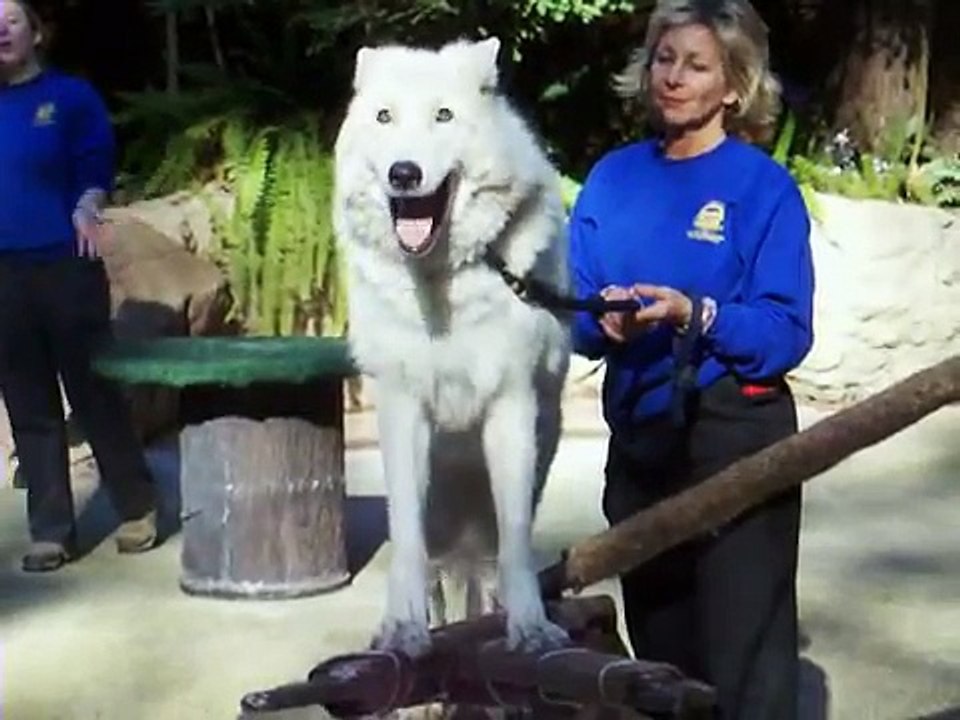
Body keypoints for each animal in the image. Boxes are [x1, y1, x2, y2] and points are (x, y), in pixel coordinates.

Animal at [333, 36, 572, 656]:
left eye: (443, 116)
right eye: (384, 117)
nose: (404, 173)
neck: (445, 282)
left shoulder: (512, 405)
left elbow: (516, 542)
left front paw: (531, 627)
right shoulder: (402, 408)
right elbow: (405, 540)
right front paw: (402, 628)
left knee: (486, 565)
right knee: (438, 569)